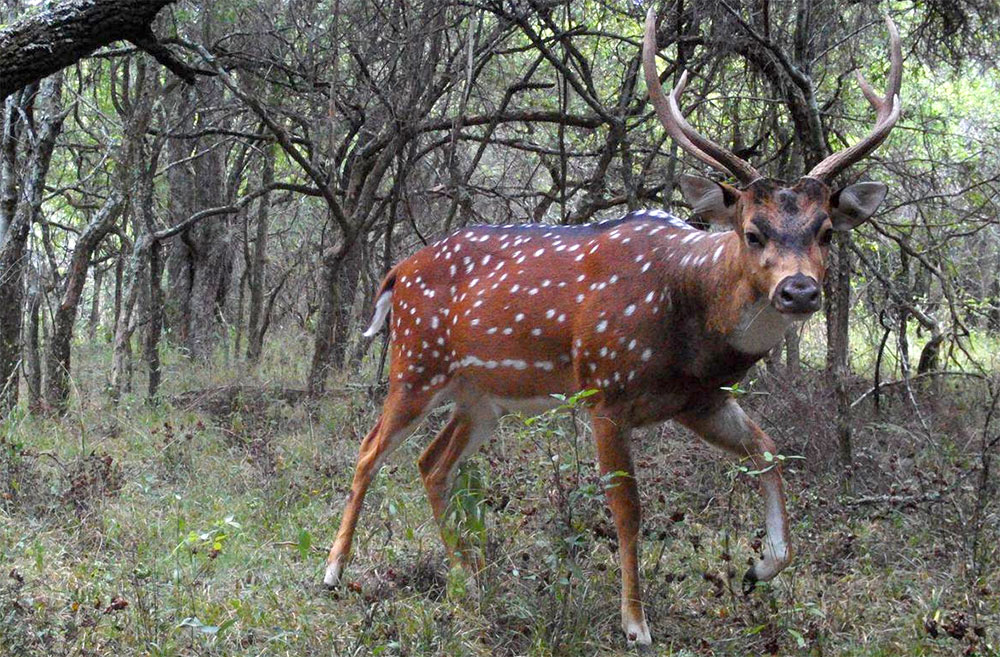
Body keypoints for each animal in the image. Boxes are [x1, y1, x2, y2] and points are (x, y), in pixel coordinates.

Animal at [324, 7, 904, 644]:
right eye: (752, 232)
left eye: (826, 231)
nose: (798, 290)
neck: (688, 317)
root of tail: (397, 272)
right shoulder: (604, 391)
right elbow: (628, 509)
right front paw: (635, 623)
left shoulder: (702, 400)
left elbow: (769, 450)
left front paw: (761, 567)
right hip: (415, 363)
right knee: (368, 450)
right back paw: (334, 571)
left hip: (482, 395)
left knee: (432, 464)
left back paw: (472, 578)